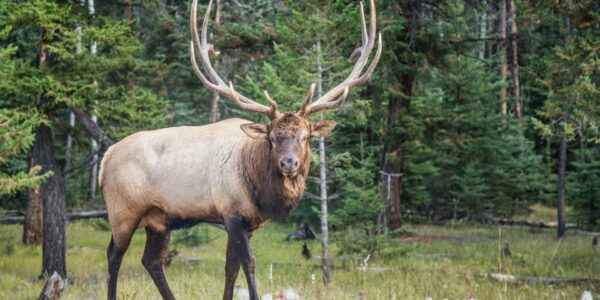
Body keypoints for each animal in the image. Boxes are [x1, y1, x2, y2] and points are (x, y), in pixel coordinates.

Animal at [98, 0, 380, 298]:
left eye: (305, 137)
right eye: (272, 137)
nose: (288, 163)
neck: (260, 189)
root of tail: (105, 159)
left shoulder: (248, 221)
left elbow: (230, 268)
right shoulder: (231, 213)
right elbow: (249, 263)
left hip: (158, 219)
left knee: (151, 260)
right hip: (122, 212)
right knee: (113, 257)